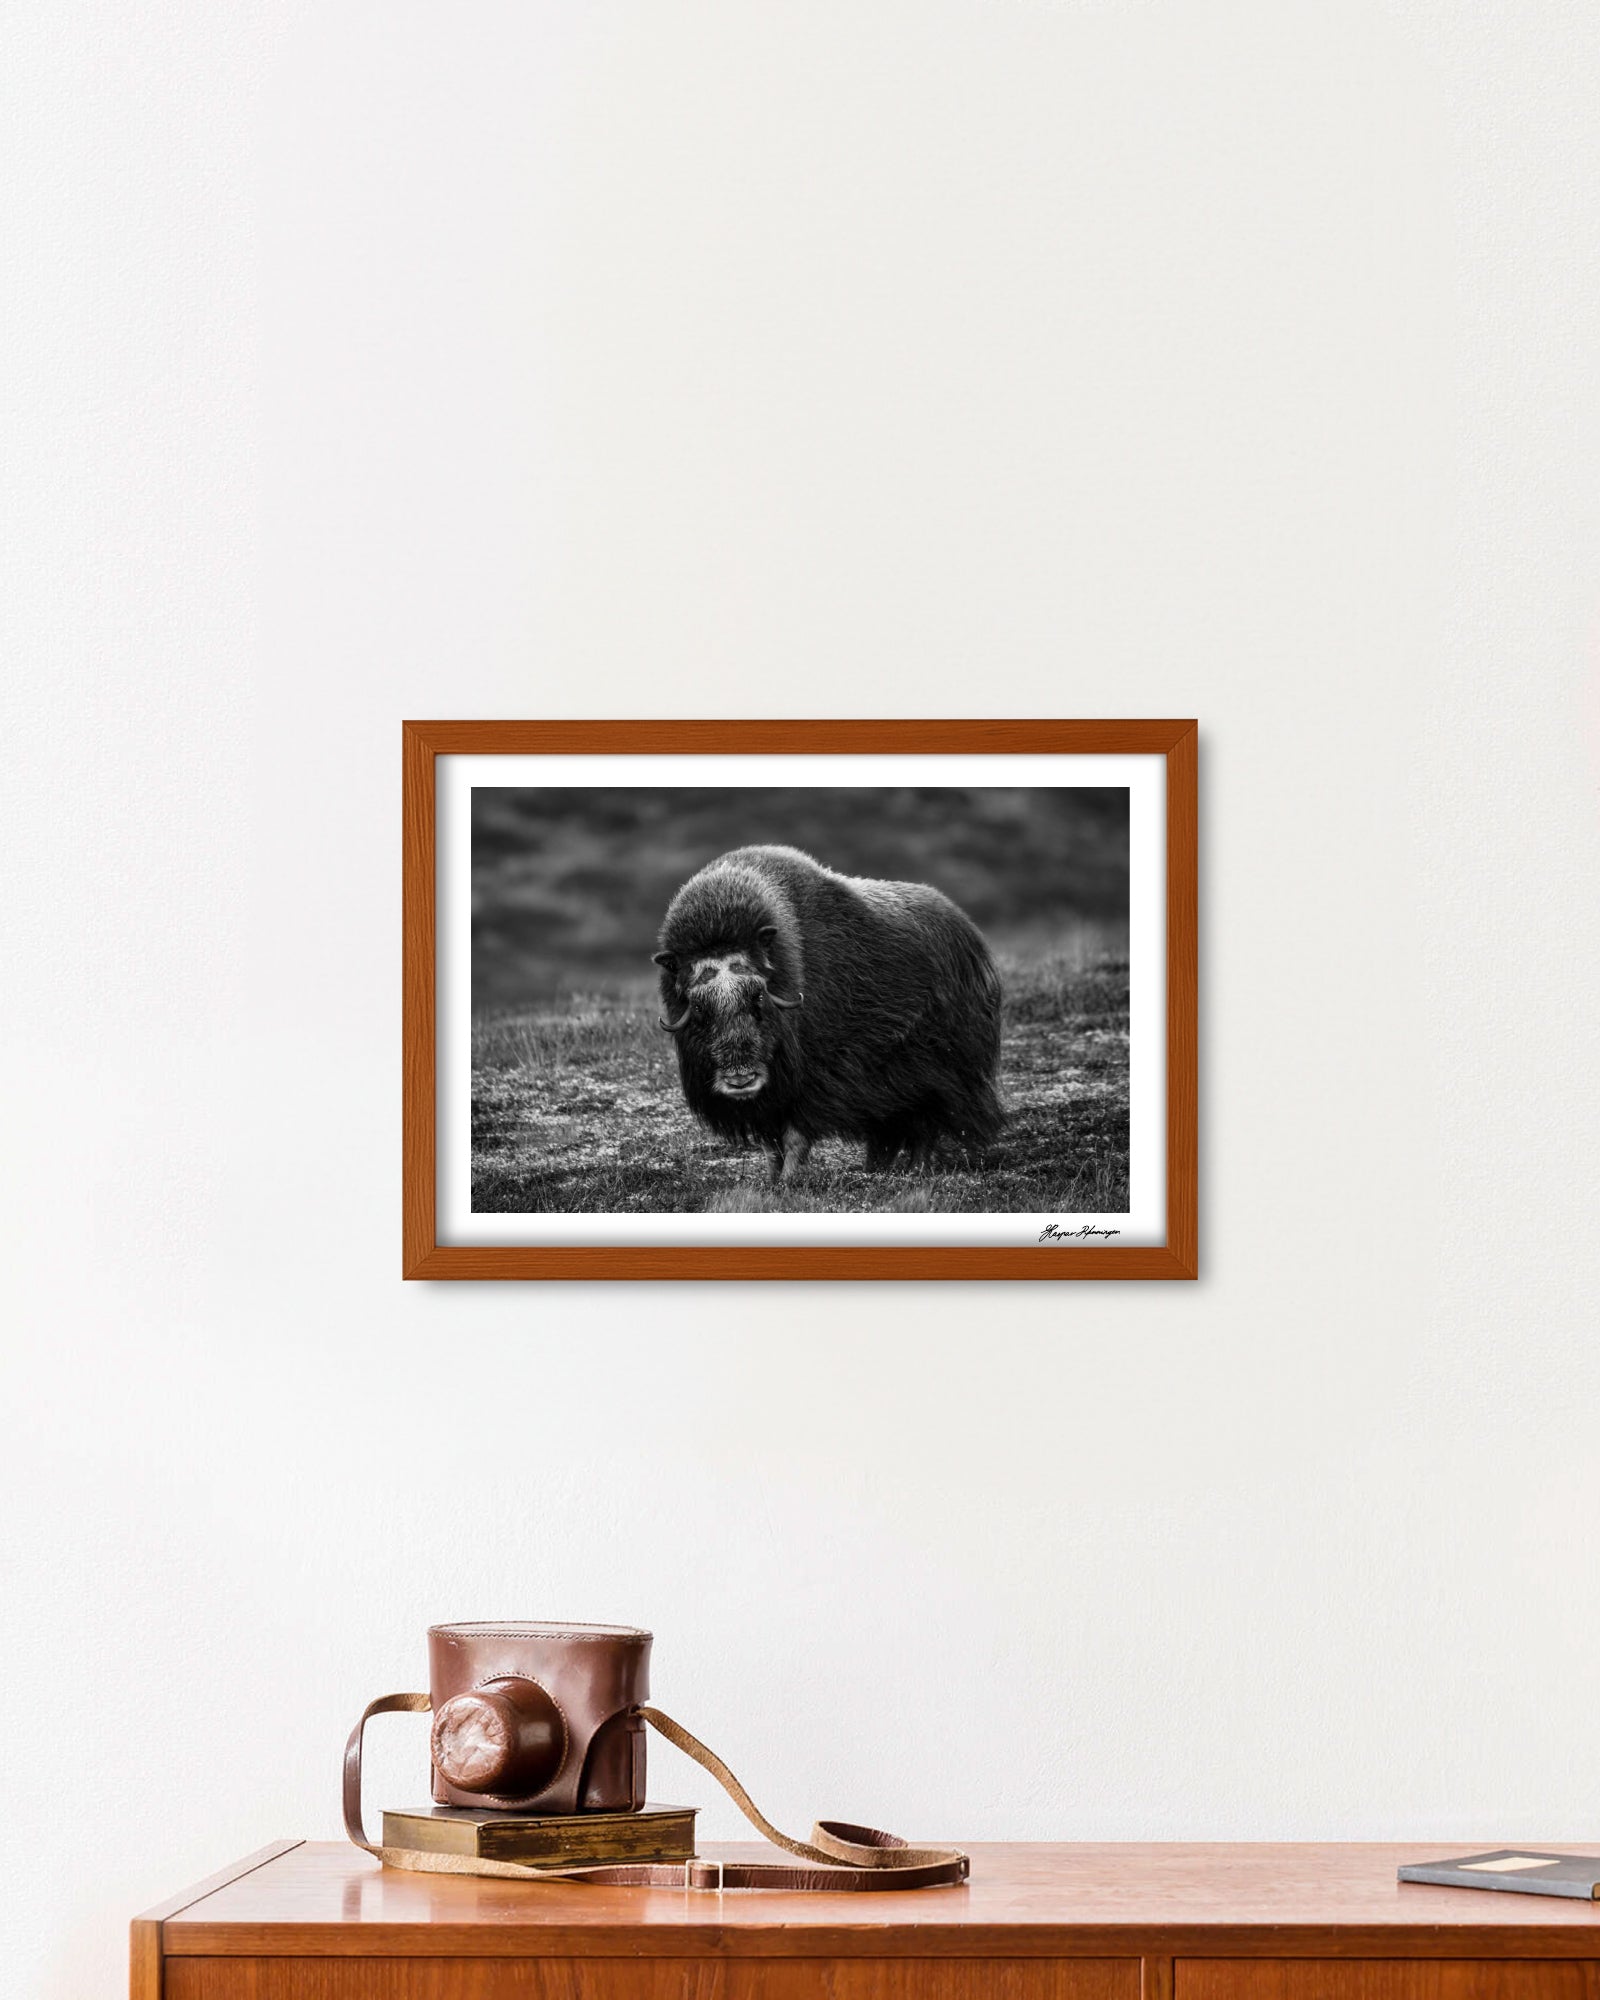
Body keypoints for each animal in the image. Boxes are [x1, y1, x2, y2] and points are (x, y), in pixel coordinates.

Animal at [653, 844, 1003, 1183]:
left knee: (926, 1123)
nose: (741, 1079)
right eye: (700, 1007)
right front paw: (771, 1180)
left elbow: (795, 1135)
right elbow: (771, 1145)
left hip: (939, 1071)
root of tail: (968, 929)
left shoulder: (813, 1080)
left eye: (758, 997)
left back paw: (915, 1170)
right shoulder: (770, 1099)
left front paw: (788, 1181)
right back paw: (876, 1169)